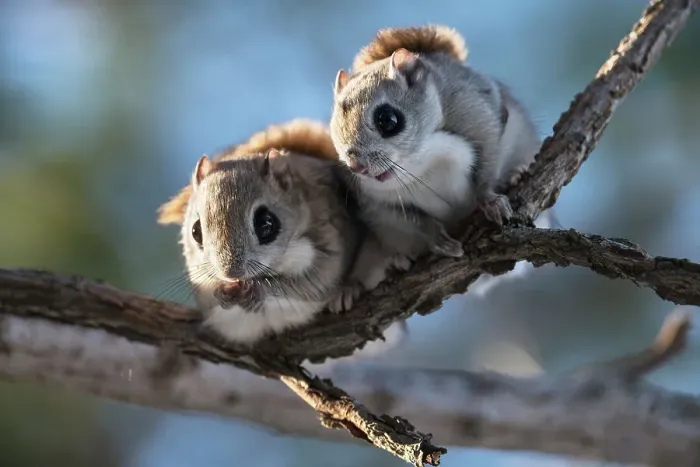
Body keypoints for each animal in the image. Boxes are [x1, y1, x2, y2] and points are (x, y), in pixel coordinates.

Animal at [157, 119, 396, 344]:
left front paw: (259, 291)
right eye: (195, 231)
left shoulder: (327, 242)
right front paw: (221, 292)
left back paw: (346, 292)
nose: (230, 273)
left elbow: (310, 283)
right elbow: (209, 294)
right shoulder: (197, 276)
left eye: (266, 224)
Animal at [329, 25, 550, 262]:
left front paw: (491, 200)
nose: (356, 166)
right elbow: (414, 219)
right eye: (335, 127)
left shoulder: (479, 118)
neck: (422, 160)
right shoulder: (373, 200)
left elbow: (488, 167)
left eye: (387, 119)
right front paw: (437, 237)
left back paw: (517, 172)